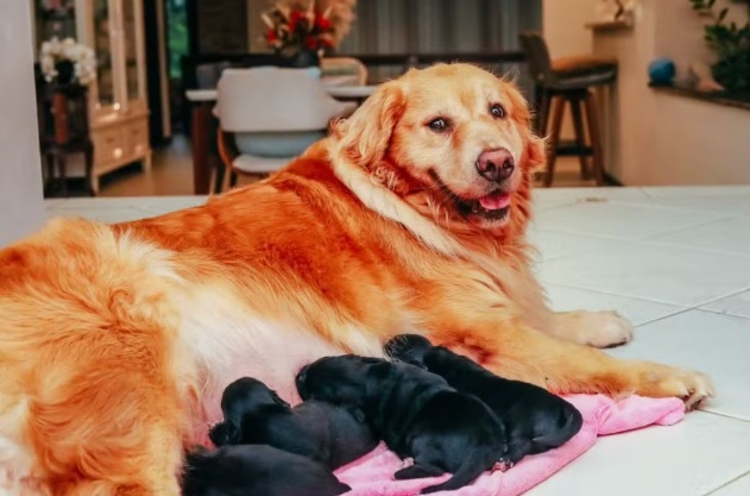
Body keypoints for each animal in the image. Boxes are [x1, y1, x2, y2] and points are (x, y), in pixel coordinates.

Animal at [294, 354, 512, 494]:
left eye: (315, 394)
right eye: (321, 360)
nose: (300, 373)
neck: (368, 379)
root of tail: (486, 443)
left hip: (423, 439)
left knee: (433, 469)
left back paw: (402, 469)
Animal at [388, 336, 588, 466]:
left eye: (400, 349)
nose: (391, 339)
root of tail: (562, 405)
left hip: (521, 422)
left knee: (521, 443)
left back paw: (504, 460)